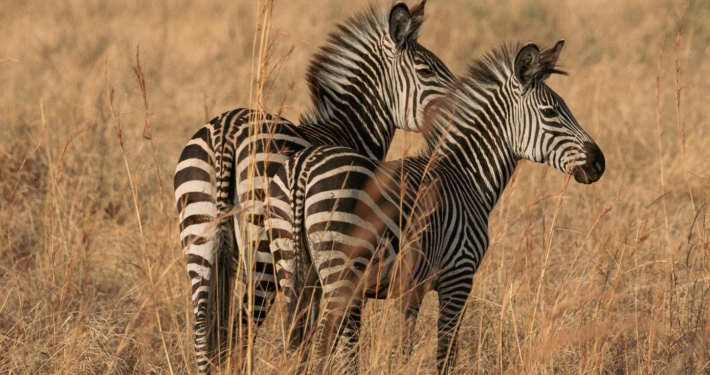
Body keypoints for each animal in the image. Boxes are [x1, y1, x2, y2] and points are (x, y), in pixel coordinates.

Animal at [171, 1, 456, 374]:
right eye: (426, 71)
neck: (343, 133)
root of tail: (227, 132)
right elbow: (319, 331)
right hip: (261, 249)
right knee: (244, 325)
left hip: (198, 234)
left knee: (204, 328)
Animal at [268, 39, 608, 374]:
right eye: (550, 112)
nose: (599, 163)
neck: (466, 175)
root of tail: (301, 168)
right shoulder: (458, 278)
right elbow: (445, 354)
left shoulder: (412, 288)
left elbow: (405, 348)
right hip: (342, 272)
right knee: (325, 344)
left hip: (292, 269)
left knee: (296, 344)